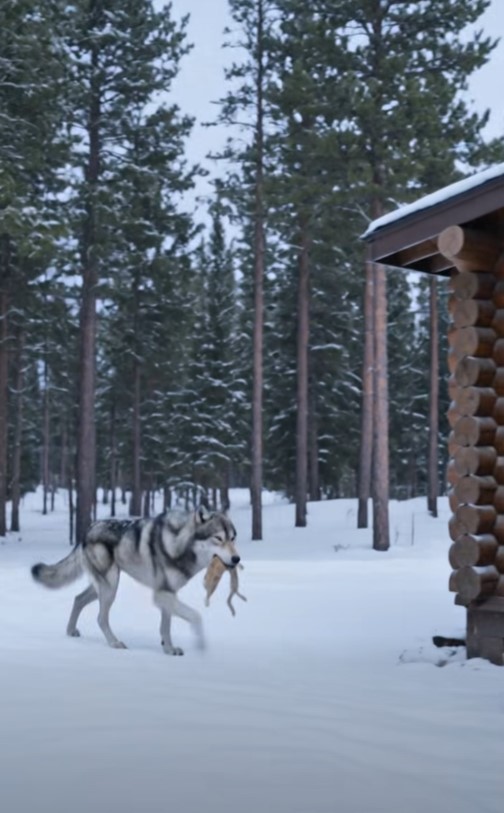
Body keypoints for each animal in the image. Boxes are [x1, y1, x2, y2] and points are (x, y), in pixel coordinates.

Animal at [31, 506, 239, 655]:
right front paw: (201, 645)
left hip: (103, 587)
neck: (179, 545)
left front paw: (169, 649)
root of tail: (88, 529)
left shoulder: (169, 593)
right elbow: (196, 616)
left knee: (78, 599)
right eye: (218, 538)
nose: (237, 559)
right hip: (110, 587)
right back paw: (115, 643)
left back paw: (70, 631)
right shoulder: (161, 594)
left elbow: (166, 627)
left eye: (232, 538)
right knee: (100, 618)